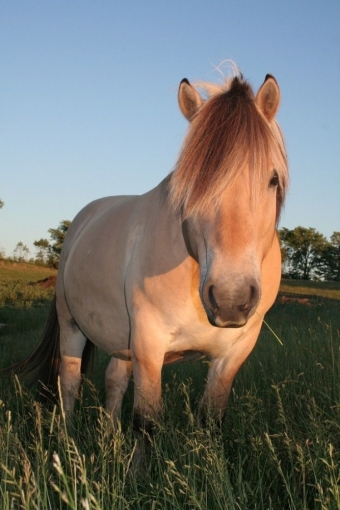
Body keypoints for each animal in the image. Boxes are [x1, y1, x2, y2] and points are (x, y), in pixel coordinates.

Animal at [3, 70, 290, 438]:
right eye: (192, 182)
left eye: (273, 179)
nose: (230, 298)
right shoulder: (149, 344)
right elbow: (146, 421)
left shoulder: (232, 354)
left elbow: (211, 421)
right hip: (71, 324)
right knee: (69, 381)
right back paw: (68, 442)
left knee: (113, 380)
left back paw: (109, 439)